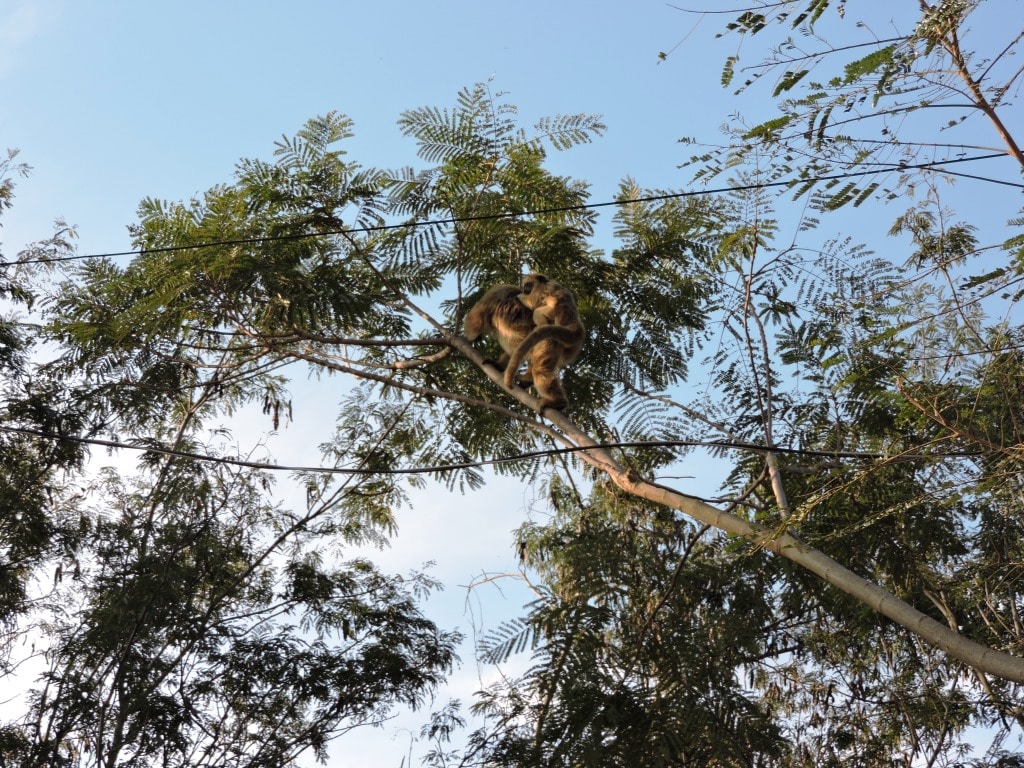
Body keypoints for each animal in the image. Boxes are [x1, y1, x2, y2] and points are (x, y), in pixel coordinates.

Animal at [501, 274, 585, 411]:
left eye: (528, 285)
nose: (525, 290)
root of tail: (575, 328)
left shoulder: (543, 291)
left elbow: (533, 302)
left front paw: (519, 296)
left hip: (554, 321)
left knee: (538, 311)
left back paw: (558, 402)